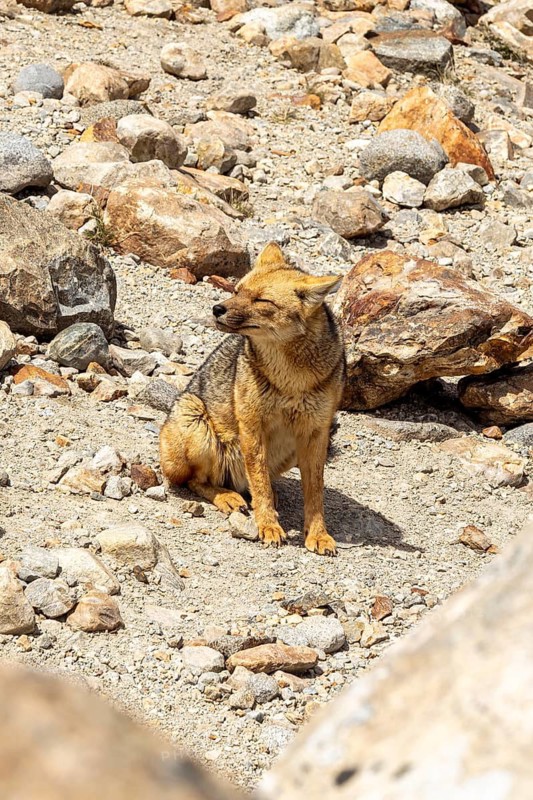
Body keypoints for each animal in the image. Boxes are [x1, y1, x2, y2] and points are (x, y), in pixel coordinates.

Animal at [159, 242, 345, 556]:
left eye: (262, 300)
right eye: (237, 291)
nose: (217, 309)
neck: (291, 380)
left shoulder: (316, 431)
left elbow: (315, 491)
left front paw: (318, 534)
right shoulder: (252, 424)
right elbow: (258, 481)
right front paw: (268, 525)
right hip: (196, 421)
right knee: (197, 481)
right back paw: (227, 496)